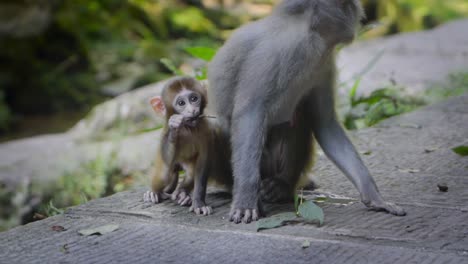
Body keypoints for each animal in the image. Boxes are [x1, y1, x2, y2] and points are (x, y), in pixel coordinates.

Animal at [142, 76, 231, 214]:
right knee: (165, 173)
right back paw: (155, 192)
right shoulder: (165, 134)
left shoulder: (207, 131)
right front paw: (174, 127)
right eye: (181, 103)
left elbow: (202, 165)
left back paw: (182, 194)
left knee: (190, 172)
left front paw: (199, 203)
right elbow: (167, 161)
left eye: (194, 99)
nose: (192, 110)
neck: (188, 129)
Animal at [208, 0, 406, 223]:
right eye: (349, 6)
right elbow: (250, 113)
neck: (308, 29)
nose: (359, 13)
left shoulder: (324, 64)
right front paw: (245, 199)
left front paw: (373, 195)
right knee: (214, 125)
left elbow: (325, 124)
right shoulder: (279, 52)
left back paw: (282, 186)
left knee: (299, 117)